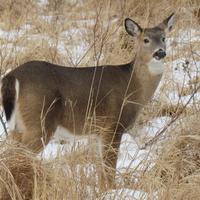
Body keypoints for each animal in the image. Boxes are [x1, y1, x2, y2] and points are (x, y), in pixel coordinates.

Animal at [0, 13, 174, 189]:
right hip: (39, 120)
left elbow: (100, 170)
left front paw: (102, 190)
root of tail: (11, 76)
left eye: (164, 38)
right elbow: (109, 168)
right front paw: (111, 189)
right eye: (146, 40)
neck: (133, 85)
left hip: (18, 127)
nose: (160, 53)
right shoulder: (113, 126)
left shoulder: (96, 132)